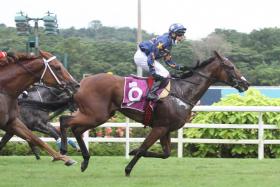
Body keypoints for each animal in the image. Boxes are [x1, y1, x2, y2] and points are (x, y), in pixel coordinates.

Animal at [58, 50, 249, 175]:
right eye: (231, 67)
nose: (245, 84)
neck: (182, 92)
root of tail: (81, 83)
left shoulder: (166, 129)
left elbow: (165, 154)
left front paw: (131, 152)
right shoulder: (159, 127)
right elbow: (143, 149)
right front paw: (128, 168)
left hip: (97, 115)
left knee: (75, 128)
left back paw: (84, 160)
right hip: (96, 115)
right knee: (65, 121)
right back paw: (65, 149)